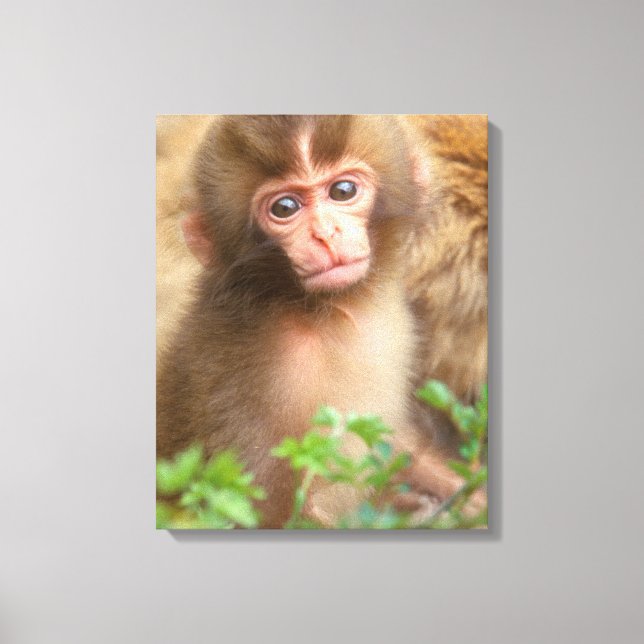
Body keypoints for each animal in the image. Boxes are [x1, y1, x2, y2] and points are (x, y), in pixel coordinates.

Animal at [156, 115, 488, 527]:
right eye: (284, 208)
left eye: (343, 191)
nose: (326, 234)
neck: (327, 313)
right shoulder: (260, 377)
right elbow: (268, 509)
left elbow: (398, 443)